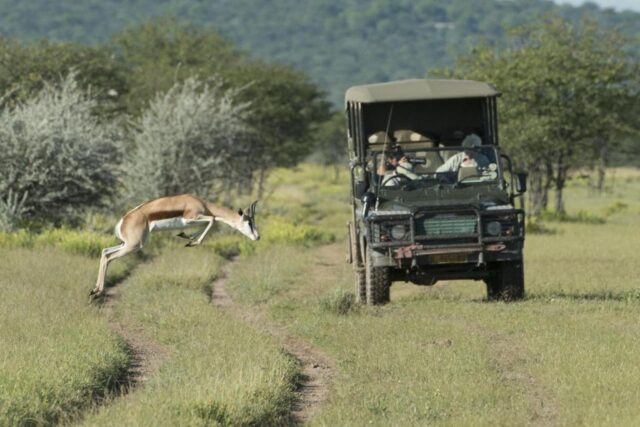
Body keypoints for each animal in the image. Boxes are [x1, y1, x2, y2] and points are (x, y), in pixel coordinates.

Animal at [90, 195, 260, 300]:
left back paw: (95, 291)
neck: (200, 203)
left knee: (104, 252)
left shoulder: (195, 221)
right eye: (249, 222)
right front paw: (192, 241)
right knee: (109, 257)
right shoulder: (191, 218)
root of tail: (123, 220)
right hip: (134, 245)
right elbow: (212, 219)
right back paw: (98, 291)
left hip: (125, 244)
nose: (257, 237)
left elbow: (208, 222)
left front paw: (187, 237)